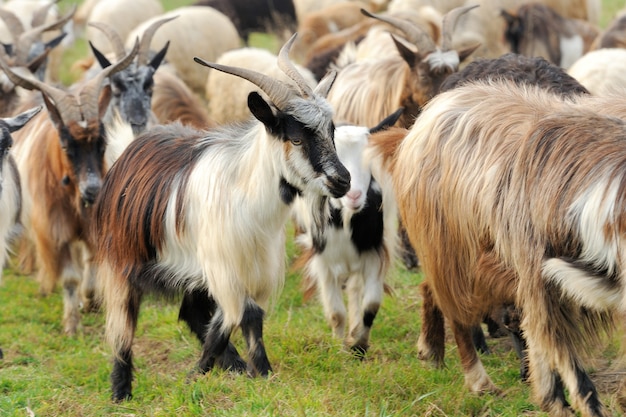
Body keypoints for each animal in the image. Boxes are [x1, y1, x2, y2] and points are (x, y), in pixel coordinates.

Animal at [292, 107, 400, 354]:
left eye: (369, 161)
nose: (354, 195)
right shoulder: (322, 261)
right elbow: (336, 313)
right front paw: (338, 349)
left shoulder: (374, 252)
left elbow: (371, 304)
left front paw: (359, 344)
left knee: (355, 289)